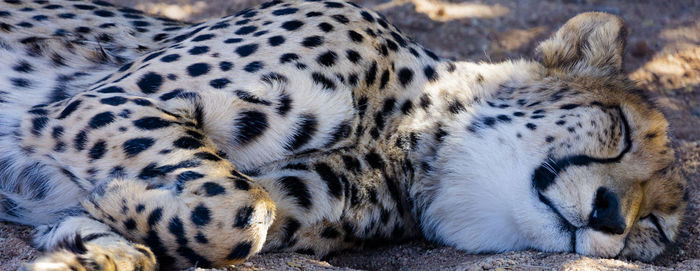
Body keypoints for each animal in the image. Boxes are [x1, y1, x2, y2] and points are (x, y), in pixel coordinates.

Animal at [0, 0, 688, 270]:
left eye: (653, 230)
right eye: (621, 130)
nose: (611, 215)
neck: (408, 137)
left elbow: (234, 216)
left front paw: (90, 238)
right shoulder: (106, 101)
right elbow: (240, 204)